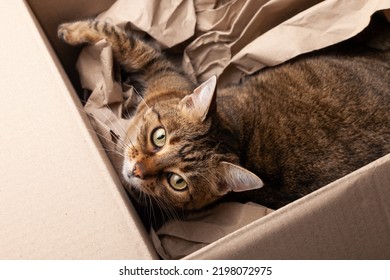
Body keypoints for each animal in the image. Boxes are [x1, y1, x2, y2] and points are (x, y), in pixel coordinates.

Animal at [58, 14, 390, 217]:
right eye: (159, 137)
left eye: (177, 182)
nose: (137, 170)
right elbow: (119, 38)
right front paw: (72, 31)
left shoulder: (159, 67)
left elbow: (120, 36)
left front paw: (69, 30)